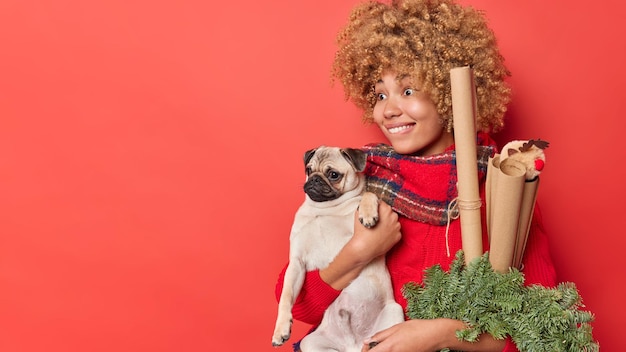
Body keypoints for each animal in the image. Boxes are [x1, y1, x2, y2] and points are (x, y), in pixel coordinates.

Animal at [270, 146, 402, 352]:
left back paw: (374, 342)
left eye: (333, 175)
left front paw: (367, 214)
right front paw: (281, 329)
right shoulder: (297, 264)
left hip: (394, 311)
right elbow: (286, 296)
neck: (325, 209)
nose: (314, 179)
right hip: (310, 343)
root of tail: (354, 346)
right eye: (309, 170)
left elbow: (368, 194)